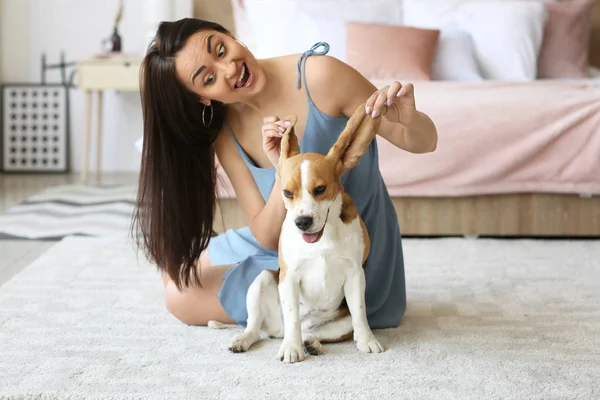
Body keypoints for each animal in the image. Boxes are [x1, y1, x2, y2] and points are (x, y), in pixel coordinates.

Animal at [216, 103, 384, 362]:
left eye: (320, 189)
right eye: (287, 193)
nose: (303, 222)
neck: (324, 236)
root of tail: (276, 332)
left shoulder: (356, 274)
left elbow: (360, 313)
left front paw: (367, 340)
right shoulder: (290, 276)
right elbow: (292, 316)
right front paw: (291, 349)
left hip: (340, 323)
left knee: (317, 331)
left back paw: (312, 343)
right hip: (262, 281)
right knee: (258, 327)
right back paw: (247, 339)